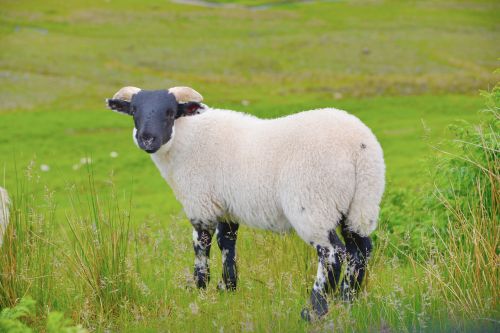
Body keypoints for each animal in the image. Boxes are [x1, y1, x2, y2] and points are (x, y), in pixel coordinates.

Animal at [106, 86, 386, 320]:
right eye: (134, 110)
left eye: (170, 112)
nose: (147, 139)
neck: (187, 140)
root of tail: (359, 147)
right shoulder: (226, 207)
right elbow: (227, 244)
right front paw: (227, 289)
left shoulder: (200, 204)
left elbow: (201, 248)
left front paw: (200, 291)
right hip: (360, 204)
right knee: (360, 250)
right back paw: (347, 302)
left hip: (314, 203)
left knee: (333, 254)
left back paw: (314, 310)